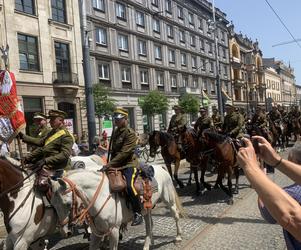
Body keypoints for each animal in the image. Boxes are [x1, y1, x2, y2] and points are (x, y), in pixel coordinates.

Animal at [51, 165, 183, 249]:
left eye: (67, 204)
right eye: (53, 205)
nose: (65, 232)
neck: (101, 196)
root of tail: (161, 167)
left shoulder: (114, 230)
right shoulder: (96, 233)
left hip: (169, 200)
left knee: (175, 215)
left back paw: (178, 237)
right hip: (146, 209)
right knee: (149, 225)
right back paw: (148, 244)